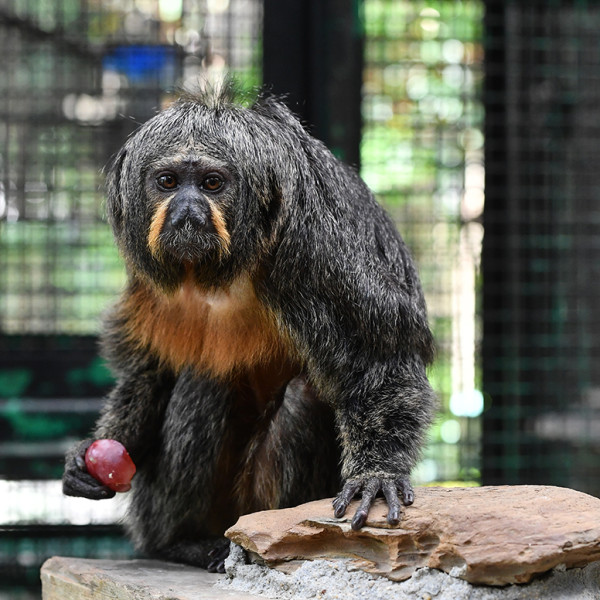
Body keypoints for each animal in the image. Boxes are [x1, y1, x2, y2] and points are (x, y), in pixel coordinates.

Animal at [62, 81, 436, 572]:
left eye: (211, 183)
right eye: (168, 182)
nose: (187, 209)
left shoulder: (314, 249)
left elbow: (379, 360)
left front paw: (378, 474)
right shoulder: (145, 276)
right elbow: (149, 370)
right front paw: (90, 458)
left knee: (301, 397)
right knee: (204, 381)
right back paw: (182, 542)